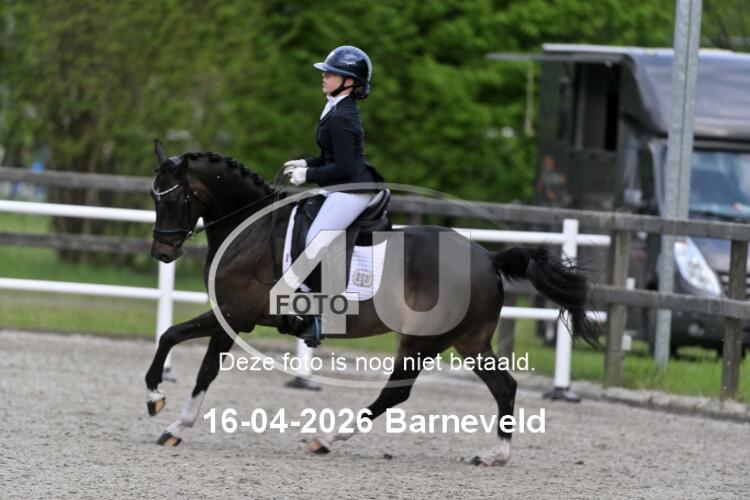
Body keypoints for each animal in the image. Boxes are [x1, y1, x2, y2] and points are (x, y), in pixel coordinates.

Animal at [144, 140, 597, 466]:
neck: (250, 231)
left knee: (396, 393)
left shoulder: (234, 315)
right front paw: (170, 418)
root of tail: (488, 257)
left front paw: (161, 406)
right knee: (504, 386)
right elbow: (190, 355)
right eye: (154, 197)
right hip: (469, 341)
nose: (162, 253)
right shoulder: (231, 317)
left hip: (422, 341)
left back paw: (326, 439)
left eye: (174, 197)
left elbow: (184, 350)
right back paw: (495, 455)